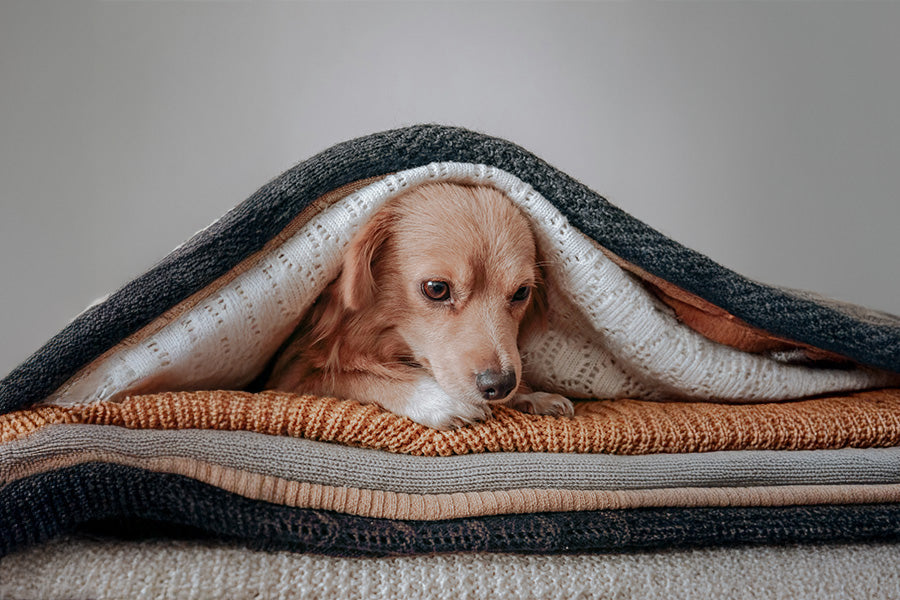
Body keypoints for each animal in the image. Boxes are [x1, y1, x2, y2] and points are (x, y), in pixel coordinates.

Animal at [264, 180, 572, 428]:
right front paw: (437, 400)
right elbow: (350, 377)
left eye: (521, 292)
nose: (500, 385)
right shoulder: (287, 379)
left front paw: (531, 395)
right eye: (436, 289)